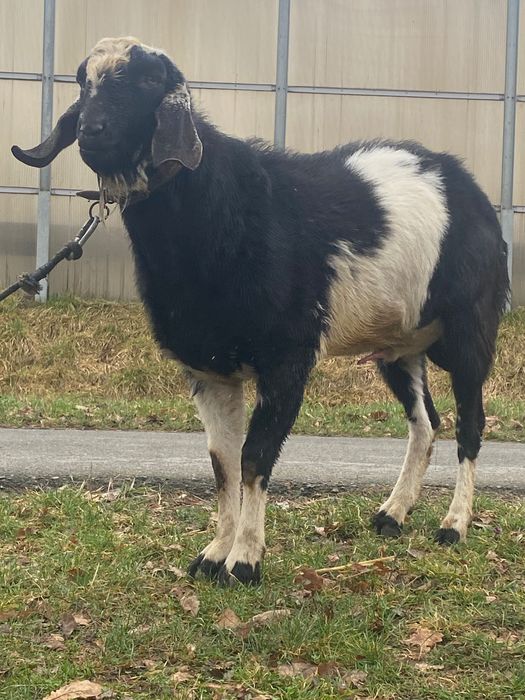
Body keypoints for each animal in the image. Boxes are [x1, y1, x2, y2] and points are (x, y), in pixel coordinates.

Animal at [12, 37, 509, 585]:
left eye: (147, 81)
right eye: (84, 82)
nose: (90, 132)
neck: (218, 214)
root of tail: (466, 186)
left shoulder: (288, 358)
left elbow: (255, 456)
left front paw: (246, 561)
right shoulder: (209, 370)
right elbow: (222, 462)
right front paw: (213, 555)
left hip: (471, 327)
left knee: (471, 423)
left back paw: (454, 525)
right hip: (399, 344)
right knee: (426, 422)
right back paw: (392, 514)